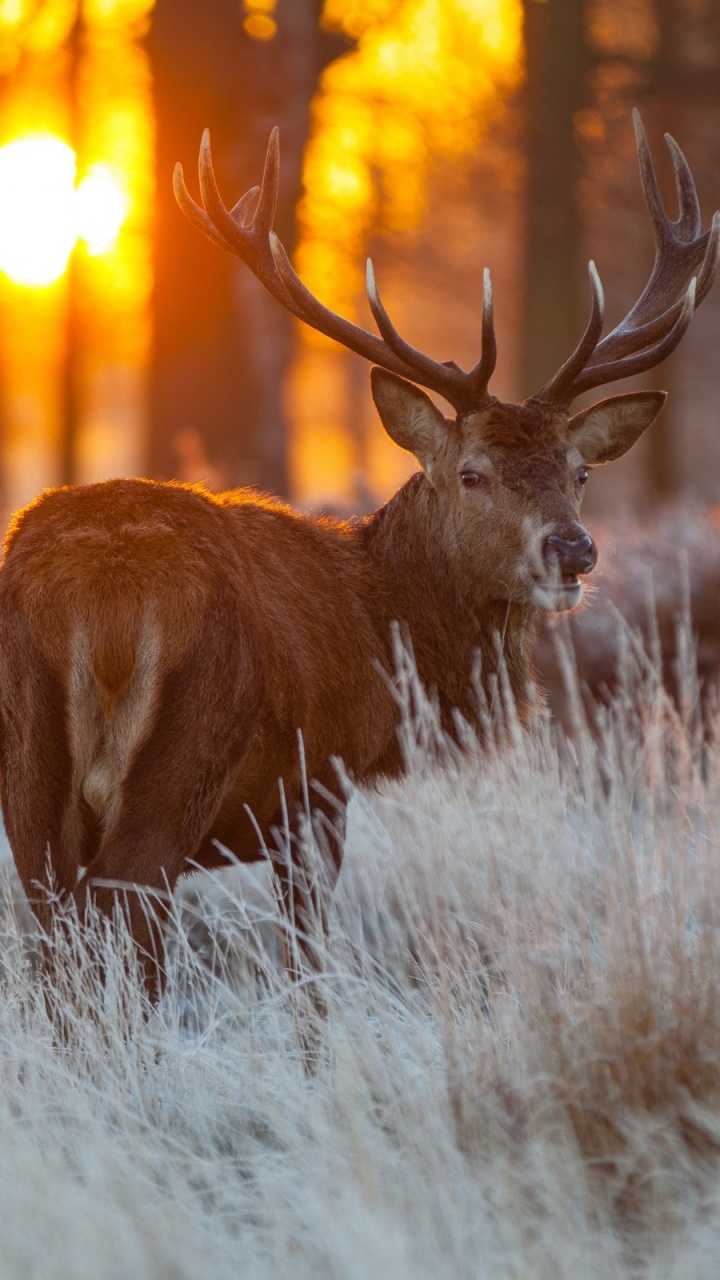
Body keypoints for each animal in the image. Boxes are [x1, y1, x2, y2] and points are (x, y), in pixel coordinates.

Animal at [0, 111, 717, 997]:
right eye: (472, 473)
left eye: (579, 471)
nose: (573, 550)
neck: (382, 628)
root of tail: (101, 593)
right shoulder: (318, 789)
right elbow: (308, 969)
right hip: (185, 751)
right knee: (122, 922)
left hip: (26, 765)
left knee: (55, 943)